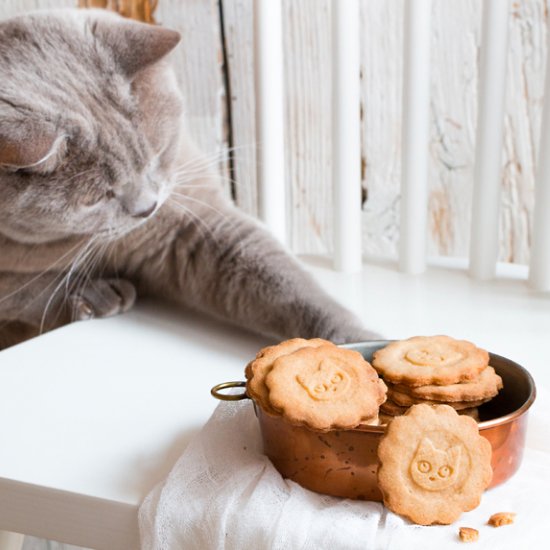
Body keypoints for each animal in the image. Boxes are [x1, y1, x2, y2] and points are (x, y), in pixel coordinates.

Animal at [0, 8, 380, 352]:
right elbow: (28, 291)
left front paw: (357, 340)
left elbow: (284, 281)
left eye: (157, 155)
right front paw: (97, 293)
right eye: (97, 198)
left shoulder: (192, 223)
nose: (147, 208)